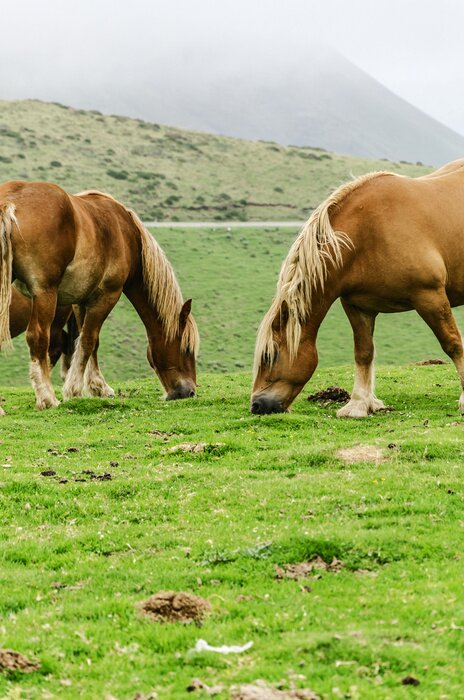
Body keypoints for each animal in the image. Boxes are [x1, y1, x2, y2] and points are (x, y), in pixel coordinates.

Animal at [0, 182, 199, 410]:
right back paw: (47, 398)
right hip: (45, 294)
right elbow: (88, 339)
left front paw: (97, 386)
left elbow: (87, 342)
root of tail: (9, 202)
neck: (127, 234)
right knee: (39, 337)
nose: (189, 392)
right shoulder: (107, 295)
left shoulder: (81, 301)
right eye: (186, 349)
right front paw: (75, 390)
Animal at [251, 159, 464, 417]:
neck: (369, 233)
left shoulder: (430, 297)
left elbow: (453, 344)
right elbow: (363, 352)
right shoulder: (357, 306)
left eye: (270, 355)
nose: (256, 405)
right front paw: (359, 405)